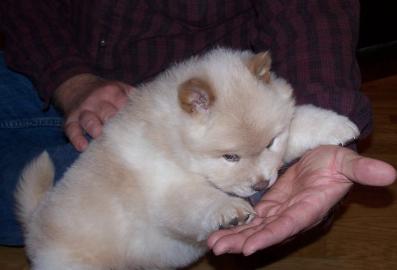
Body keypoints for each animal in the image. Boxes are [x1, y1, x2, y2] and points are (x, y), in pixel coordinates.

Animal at [15, 48, 358, 270]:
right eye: (230, 157)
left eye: (271, 142)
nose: (263, 184)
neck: (174, 142)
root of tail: (34, 227)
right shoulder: (167, 188)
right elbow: (201, 199)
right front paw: (230, 210)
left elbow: (301, 121)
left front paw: (338, 126)